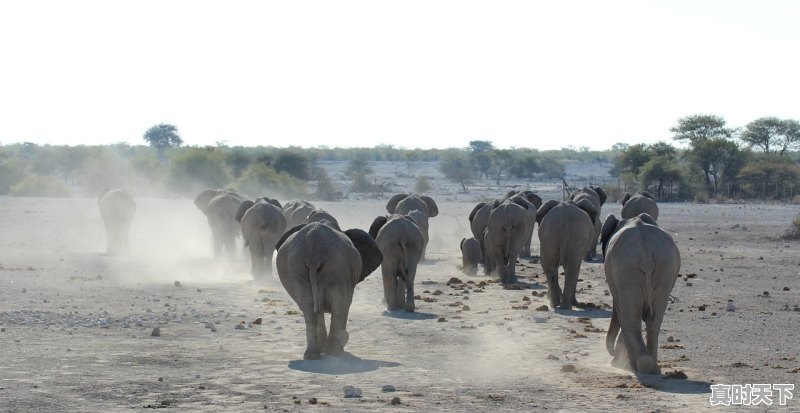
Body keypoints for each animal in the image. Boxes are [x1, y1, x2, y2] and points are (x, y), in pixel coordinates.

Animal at [276, 220, 382, 358]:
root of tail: (313, 252)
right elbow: (346, 304)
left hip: (299, 268)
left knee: (310, 308)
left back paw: (314, 356)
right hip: (337, 270)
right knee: (339, 305)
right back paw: (334, 352)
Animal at [604, 212, 680, 374]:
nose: (611, 352)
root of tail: (646, 256)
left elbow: (620, 312)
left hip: (627, 271)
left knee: (630, 320)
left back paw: (636, 366)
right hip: (664, 270)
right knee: (654, 321)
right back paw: (651, 367)